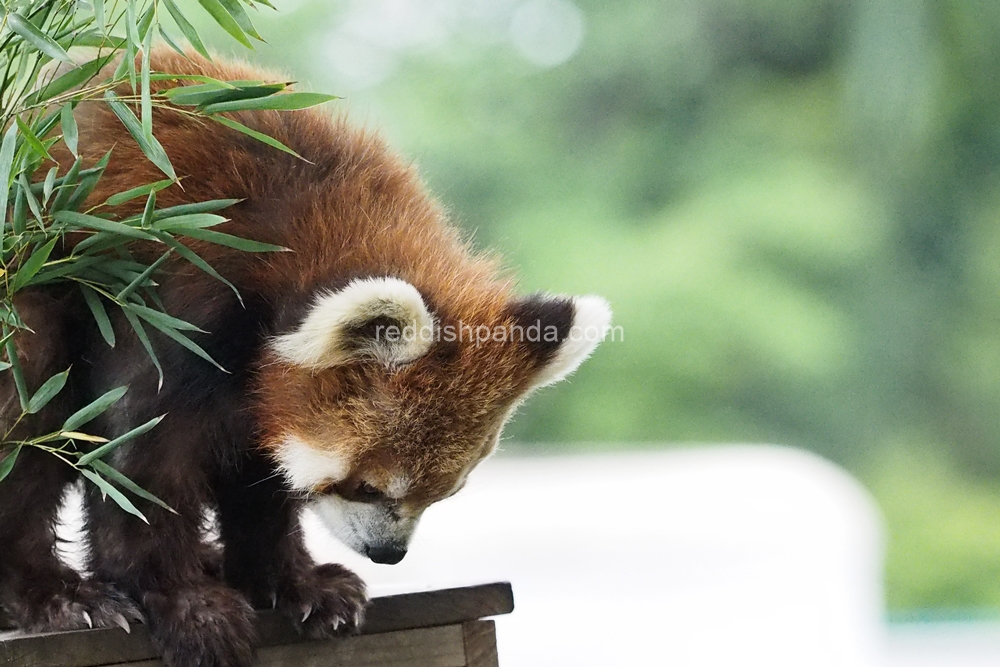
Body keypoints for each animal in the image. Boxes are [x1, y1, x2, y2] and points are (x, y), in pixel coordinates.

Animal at [0, 52, 608, 667]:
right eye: (367, 487)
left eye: (445, 494)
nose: (389, 554)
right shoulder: (160, 294)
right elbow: (140, 461)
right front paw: (187, 604)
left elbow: (261, 478)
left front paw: (295, 585)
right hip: (29, 294)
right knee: (30, 411)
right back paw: (56, 597)